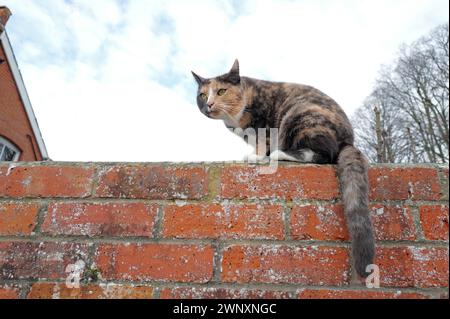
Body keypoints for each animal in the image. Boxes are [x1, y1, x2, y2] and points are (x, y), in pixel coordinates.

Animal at [192, 59, 374, 278]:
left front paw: (257, 156)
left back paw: (282, 154)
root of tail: (348, 141)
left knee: (324, 154)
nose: (208, 104)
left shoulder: (264, 124)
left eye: (221, 91)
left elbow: (262, 141)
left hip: (299, 115)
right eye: (202, 95)